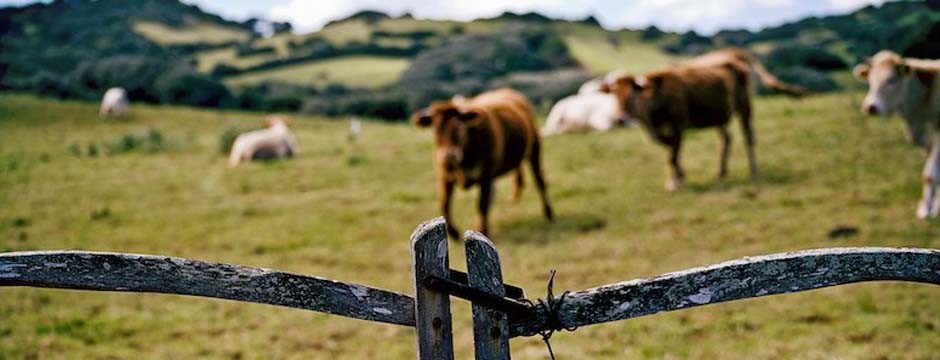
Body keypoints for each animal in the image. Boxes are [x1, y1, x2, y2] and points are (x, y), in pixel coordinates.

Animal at [410, 88, 552, 239]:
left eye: (459, 127)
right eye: (436, 129)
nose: (449, 155)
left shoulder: (486, 176)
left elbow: (482, 204)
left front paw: (482, 229)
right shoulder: (445, 176)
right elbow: (444, 204)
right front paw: (453, 233)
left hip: (535, 149)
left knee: (540, 181)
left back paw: (548, 212)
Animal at [604, 48, 804, 190]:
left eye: (631, 97)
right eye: (614, 97)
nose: (619, 119)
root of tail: (735, 54)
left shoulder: (679, 123)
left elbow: (672, 154)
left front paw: (676, 181)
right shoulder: (663, 130)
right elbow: (670, 149)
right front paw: (677, 177)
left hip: (745, 105)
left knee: (748, 137)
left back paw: (754, 172)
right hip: (721, 114)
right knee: (726, 139)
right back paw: (721, 173)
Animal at [852, 50, 940, 219]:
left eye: (892, 80)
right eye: (870, 79)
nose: (870, 107)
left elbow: (930, 173)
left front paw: (930, 208)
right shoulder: (915, 127)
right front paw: (925, 205)